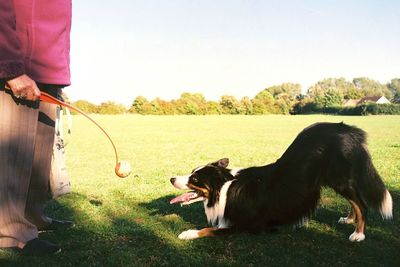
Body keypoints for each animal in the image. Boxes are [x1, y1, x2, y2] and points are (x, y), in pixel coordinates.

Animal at [170, 123, 392, 243]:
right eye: (192, 172)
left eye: (194, 179)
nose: (171, 178)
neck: (225, 188)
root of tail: (348, 130)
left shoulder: (248, 224)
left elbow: (211, 230)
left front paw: (188, 233)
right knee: (354, 202)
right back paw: (349, 220)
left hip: (340, 178)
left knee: (361, 204)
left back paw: (358, 234)